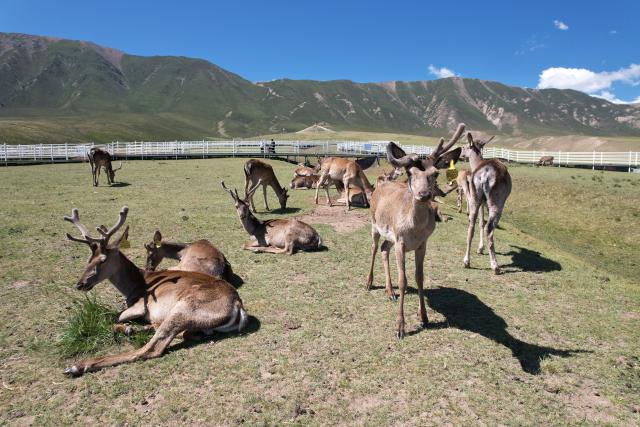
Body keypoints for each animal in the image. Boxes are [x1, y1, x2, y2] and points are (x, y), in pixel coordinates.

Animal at [62, 206, 248, 376]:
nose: (80, 284)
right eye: (89, 259)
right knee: (187, 334)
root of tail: (238, 306)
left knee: (152, 348)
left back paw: (78, 366)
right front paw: (129, 328)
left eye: (103, 260)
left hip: (184, 308)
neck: (135, 284)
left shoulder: (139, 306)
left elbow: (110, 317)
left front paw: (126, 328)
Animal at [365, 123, 465, 338]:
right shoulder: (401, 243)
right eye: (410, 173)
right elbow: (403, 280)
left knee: (384, 249)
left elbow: (420, 278)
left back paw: (390, 291)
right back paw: (369, 283)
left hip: (390, 237)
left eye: (435, 173)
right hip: (374, 224)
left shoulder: (422, 244)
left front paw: (424, 316)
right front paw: (400, 327)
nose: (424, 194)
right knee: (374, 248)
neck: (414, 229)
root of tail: (380, 185)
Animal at [461, 133, 512, 274]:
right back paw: (495, 266)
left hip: (475, 197)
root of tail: (485, 174)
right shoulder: (486, 203)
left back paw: (466, 261)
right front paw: (481, 248)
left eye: (465, 146)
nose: (461, 154)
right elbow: (485, 224)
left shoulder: (481, 202)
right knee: (489, 228)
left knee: (471, 224)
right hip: (496, 202)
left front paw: (480, 248)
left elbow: (480, 223)